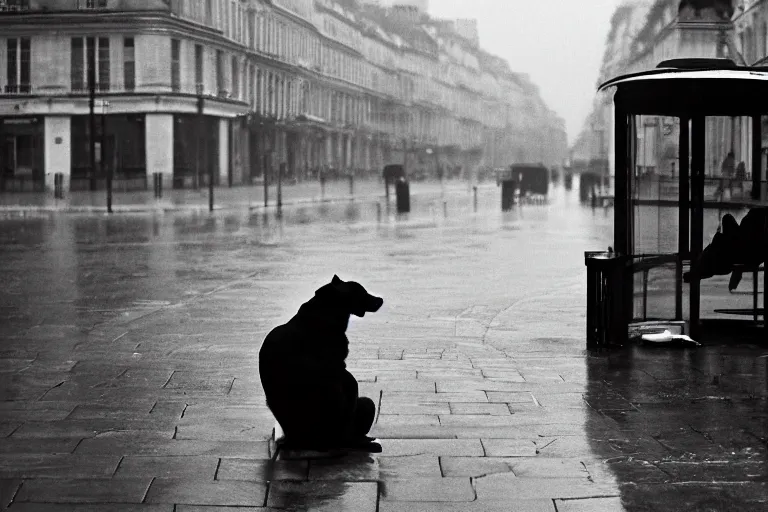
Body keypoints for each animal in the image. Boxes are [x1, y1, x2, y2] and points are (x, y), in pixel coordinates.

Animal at [260, 276, 382, 448]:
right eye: (362, 292)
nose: (381, 300)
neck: (324, 312)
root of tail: (295, 439)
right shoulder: (340, 368)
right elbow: (349, 382)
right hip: (363, 404)